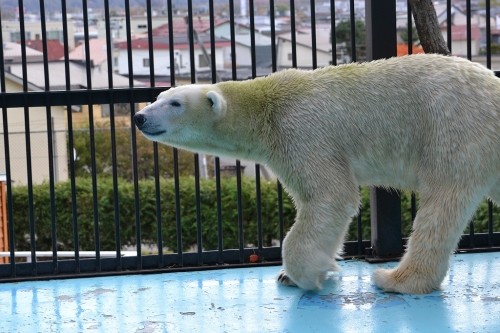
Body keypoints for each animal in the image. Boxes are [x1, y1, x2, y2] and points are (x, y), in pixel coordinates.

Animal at [134, 53, 500, 294]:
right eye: (160, 95)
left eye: (175, 104)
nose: (139, 117)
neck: (265, 108)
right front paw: (293, 274)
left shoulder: (301, 129)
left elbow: (331, 195)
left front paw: (312, 274)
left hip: (453, 129)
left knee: (441, 205)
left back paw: (396, 280)